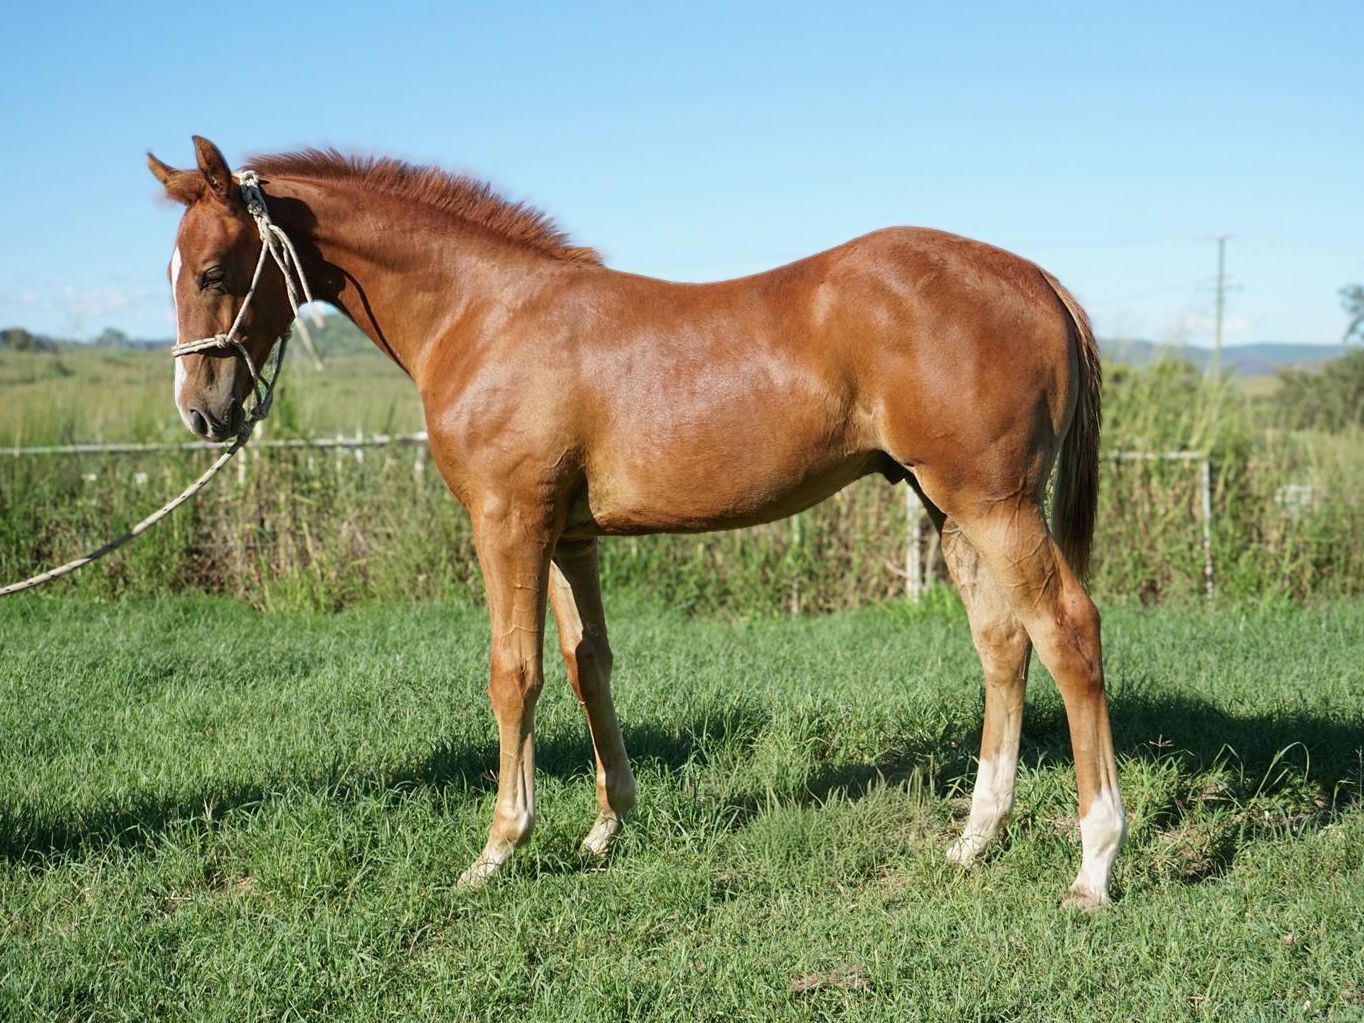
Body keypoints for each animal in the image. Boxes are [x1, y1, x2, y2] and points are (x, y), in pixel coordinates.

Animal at [148, 136, 1125, 908]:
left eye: (213, 271)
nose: (201, 410)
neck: (486, 314)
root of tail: (1038, 280)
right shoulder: (567, 537)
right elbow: (589, 666)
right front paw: (604, 828)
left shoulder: (509, 522)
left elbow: (515, 674)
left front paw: (498, 849)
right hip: (947, 505)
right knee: (1003, 643)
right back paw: (973, 838)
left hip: (994, 505)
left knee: (1069, 631)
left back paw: (1094, 863)